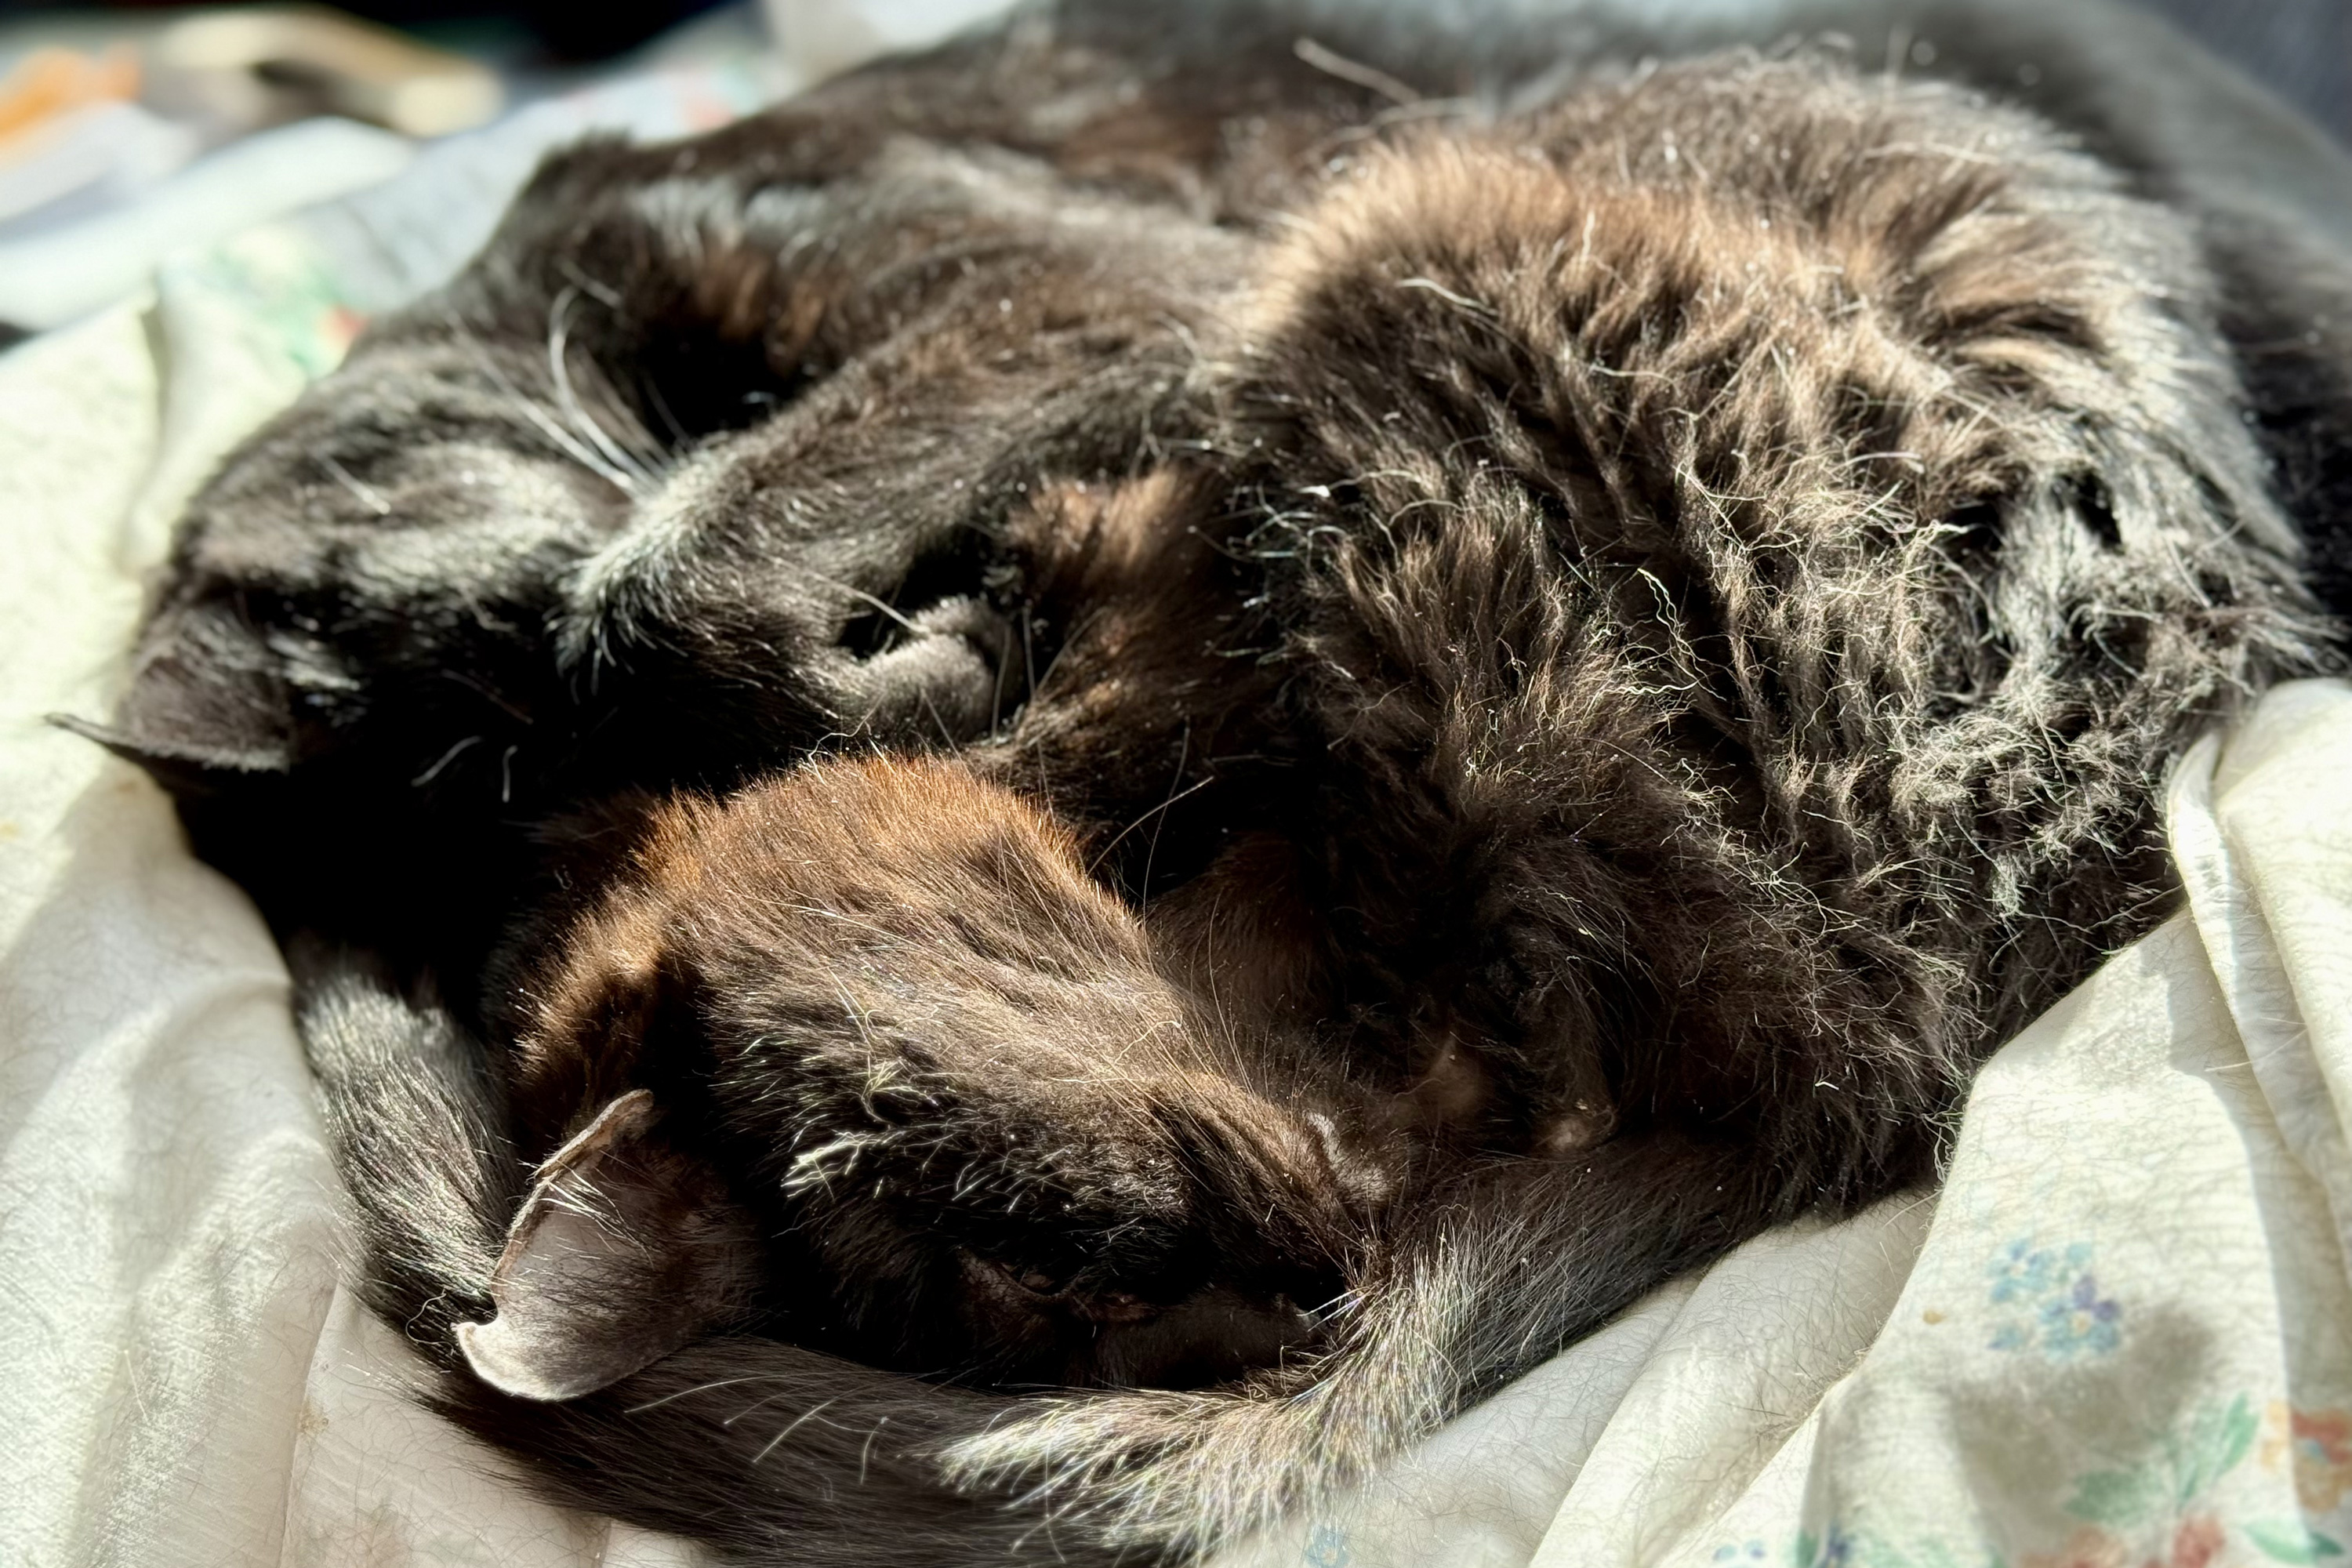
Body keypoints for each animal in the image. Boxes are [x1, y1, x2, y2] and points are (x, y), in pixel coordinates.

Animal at [68, 0, 2352, 1561]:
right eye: (494, 821)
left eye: (526, 740)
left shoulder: (1061, 293)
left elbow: (692, 573)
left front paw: (875, 645)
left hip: (1384, 246)